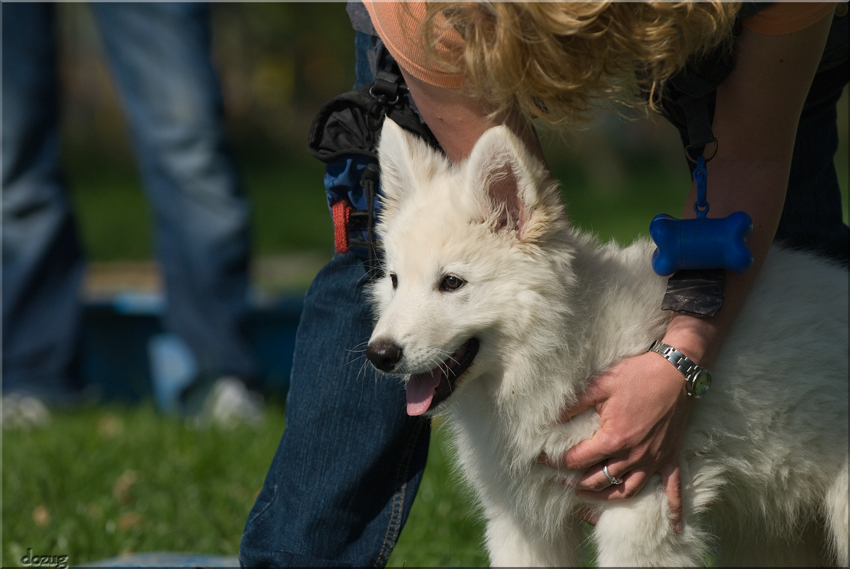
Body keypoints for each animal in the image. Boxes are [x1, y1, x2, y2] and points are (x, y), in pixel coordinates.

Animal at [366, 118, 848, 564]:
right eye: (394, 280)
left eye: (451, 283)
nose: (379, 355)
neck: (566, 346)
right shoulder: (520, 523)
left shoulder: (641, 511)